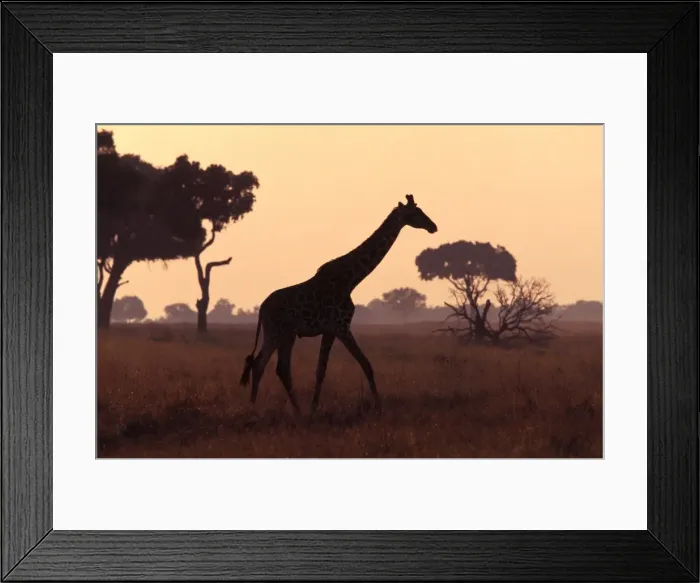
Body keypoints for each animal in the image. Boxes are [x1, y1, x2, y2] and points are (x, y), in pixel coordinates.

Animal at [239, 194, 438, 413]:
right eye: (416, 213)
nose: (433, 226)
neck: (350, 280)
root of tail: (262, 309)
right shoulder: (342, 327)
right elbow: (366, 364)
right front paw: (378, 406)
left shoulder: (329, 330)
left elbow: (321, 370)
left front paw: (314, 408)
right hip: (284, 333)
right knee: (280, 368)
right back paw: (294, 411)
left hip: (273, 334)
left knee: (259, 364)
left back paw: (254, 408)